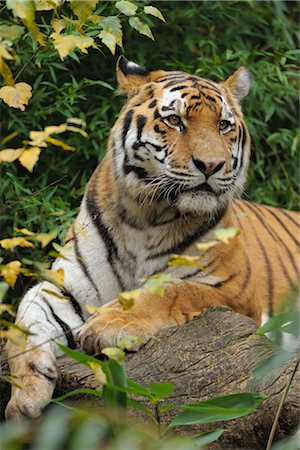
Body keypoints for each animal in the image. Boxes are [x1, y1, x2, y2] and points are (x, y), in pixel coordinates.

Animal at [5, 55, 300, 418]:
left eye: (223, 125)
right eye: (174, 120)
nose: (211, 165)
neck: (145, 218)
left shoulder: (235, 291)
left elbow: (170, 290)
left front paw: (108, 325)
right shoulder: (67, 284)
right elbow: (24, 318)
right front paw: (24, 394)